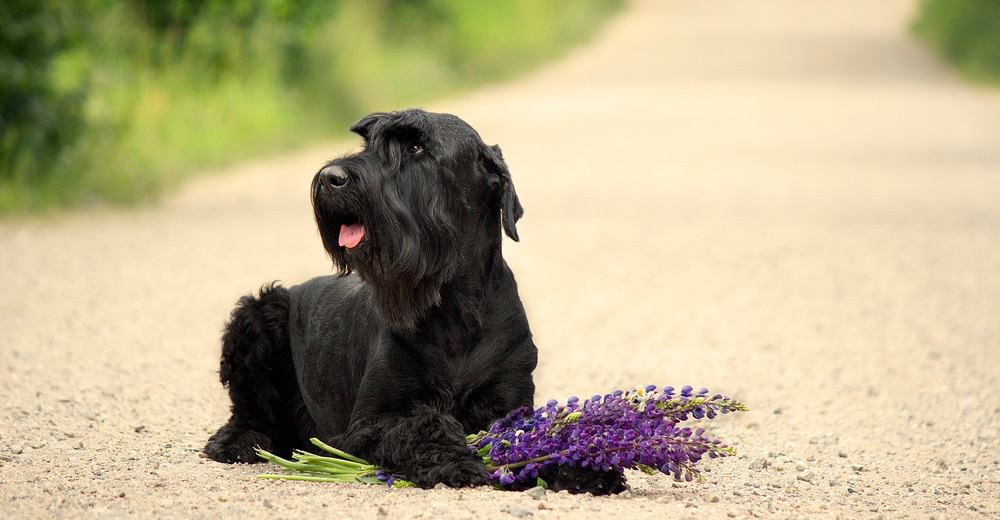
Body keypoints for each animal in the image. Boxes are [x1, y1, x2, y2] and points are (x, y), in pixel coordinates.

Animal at [203, 110, 624, 496]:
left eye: (417, 148)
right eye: (366, 143)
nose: (330, 178)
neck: (454, 310)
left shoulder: (509, 404)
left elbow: (534, 436)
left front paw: (584, 465)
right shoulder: (368, 421)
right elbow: (422, 425)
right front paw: (457, 460)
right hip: (260, 315)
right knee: (250, 411)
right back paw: (238, 443)